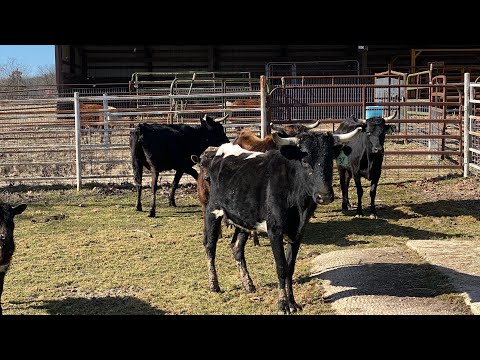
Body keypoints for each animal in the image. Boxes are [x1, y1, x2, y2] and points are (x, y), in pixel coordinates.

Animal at [202, 128, 360, 314]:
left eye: (330, 160)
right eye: (304, 161)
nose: (325, 196)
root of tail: (220, 152)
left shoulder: (298, 232)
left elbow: (290, 267)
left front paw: (292, 302)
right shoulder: (274, 231)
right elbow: (281, 267)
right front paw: (283, 303)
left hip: (243, 218)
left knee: (236, 247)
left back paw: (248, 284)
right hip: (212, 210)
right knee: (210, 246)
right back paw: (214, 285)